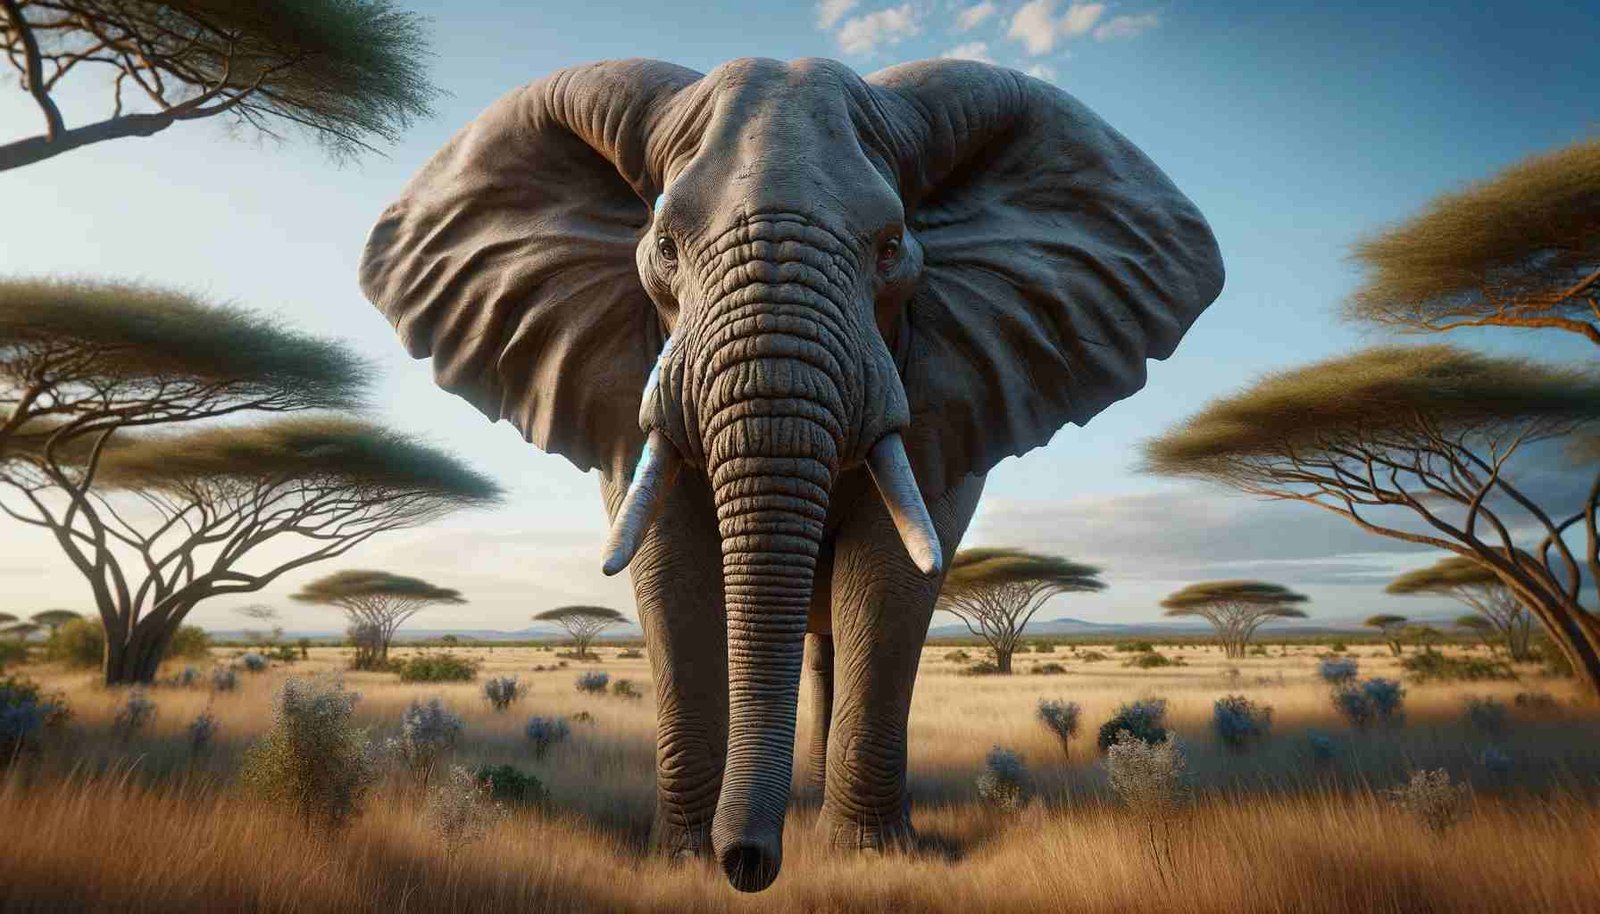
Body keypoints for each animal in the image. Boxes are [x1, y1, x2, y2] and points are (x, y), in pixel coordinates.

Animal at [358, 57, 1223, 892]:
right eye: (664, 246)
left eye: (891, 246)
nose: (750, 864)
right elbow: (670, 571)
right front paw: (683, 861)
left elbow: (888, 577)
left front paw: (872, 858)